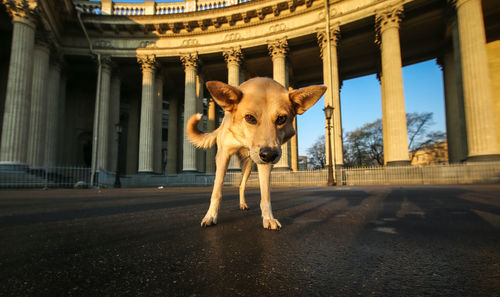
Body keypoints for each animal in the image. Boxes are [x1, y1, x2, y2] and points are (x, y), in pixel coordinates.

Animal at [186, 76, 326, 229]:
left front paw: (268, 218)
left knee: (241, 185)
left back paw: (243, 203)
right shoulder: (223, 155)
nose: (269, 155)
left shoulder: (266, 161)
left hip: (249, 165)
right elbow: (217, 191)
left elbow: (265, 195)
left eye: (281, 118)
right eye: (249, 117)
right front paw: (210, 216)